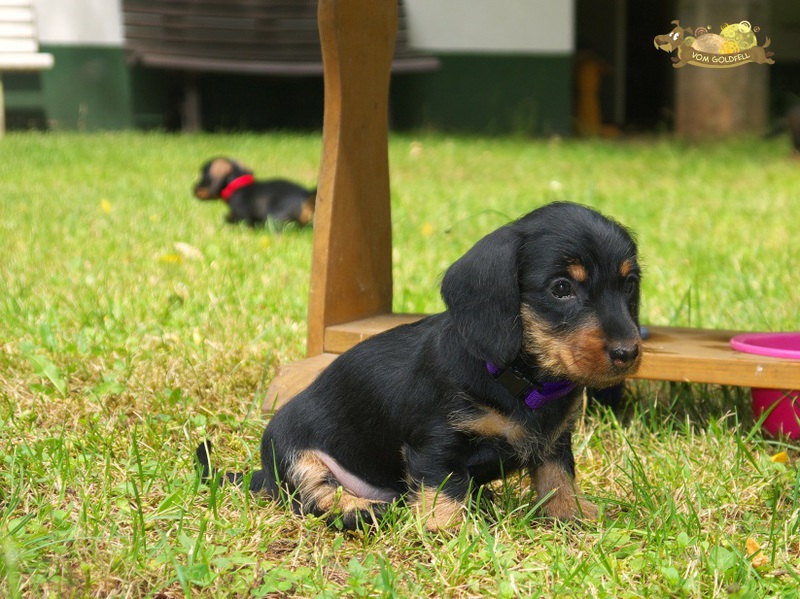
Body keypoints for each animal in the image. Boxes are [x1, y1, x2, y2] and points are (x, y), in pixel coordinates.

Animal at [197, 202, 642, 531]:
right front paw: (447, 528)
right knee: (316, 496)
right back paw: (358, 508)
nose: (628, 352)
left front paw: (571, 513)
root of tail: (262, 474)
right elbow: (443, 485)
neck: (520, 381)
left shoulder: (555, 440)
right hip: (294, 453)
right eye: (561, 288)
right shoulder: (436, 441)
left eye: (629, 284)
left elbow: (557, 476)